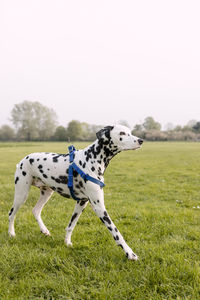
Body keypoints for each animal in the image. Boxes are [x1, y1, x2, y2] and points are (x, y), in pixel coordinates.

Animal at [8, 124, 142, 260]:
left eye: (130, 132)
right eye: (122, 133)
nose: (141, 140)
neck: (92, 159)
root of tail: (22, 160)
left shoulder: (82, 202)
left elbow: (71, 225)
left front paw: (67, 242)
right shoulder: (99, 207)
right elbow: (116, 232)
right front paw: (130, 253)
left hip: (46, 193)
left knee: (36, 210)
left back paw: (44, 230)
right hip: (21, 194)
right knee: (11, 213)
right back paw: (11, 233)